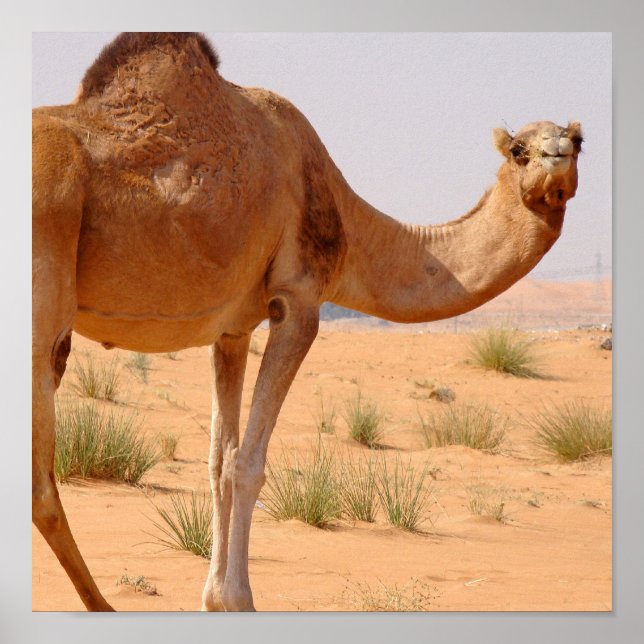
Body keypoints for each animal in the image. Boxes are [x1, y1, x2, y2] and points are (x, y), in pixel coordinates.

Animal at [32, 32, 582, 612]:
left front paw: (212, 597)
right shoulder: (298, 301)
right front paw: (238, 599)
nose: (558, 151)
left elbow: (218, 461)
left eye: (579, 140)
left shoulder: (231, 330)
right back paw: (102, 605)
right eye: (520, 149)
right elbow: (247, 464)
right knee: (40, 478)